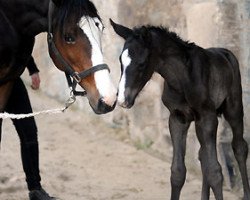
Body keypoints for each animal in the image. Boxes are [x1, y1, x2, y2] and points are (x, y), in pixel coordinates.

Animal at [111, 19, 250, 200]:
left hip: (234, 109)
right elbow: (178, 171)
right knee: (202, 154)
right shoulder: (177, 118)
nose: (122, 100)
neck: (182, 79)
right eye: (121, 61)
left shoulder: (207, 117)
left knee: (239, 147)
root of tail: (226, 53)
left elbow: (215, 172)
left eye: (142, 63)